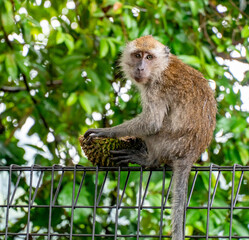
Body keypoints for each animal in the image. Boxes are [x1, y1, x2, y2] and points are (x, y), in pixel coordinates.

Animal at [84, 35, 217, 240]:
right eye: (138, 55)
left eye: (149, 57)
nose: (140, 67)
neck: (162, 67)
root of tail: (190, 154)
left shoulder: (156, 88)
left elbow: (151, 123)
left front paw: (105, 132)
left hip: (167, 144)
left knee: (154, 133)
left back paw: (148, 158)